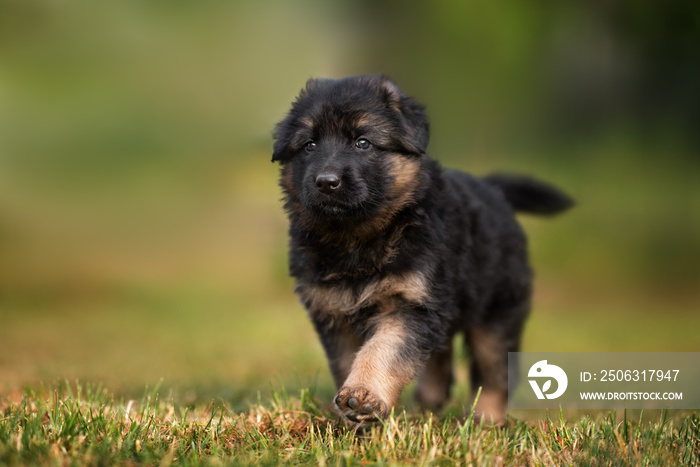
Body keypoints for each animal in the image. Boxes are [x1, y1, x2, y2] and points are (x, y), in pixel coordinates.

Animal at [270, 74, 572, 428]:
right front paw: (353, 417)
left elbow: (384, 349)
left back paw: (485, 420)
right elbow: (347, 359)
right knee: (441, 355)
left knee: (495, 370)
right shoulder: (334, 312)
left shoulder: (410, 303)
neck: (358, 237)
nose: (326, 182)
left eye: (363, 143)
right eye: (309, 145)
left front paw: (364, 395)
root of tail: (494, 191)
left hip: (497, 313)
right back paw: (431, 400)